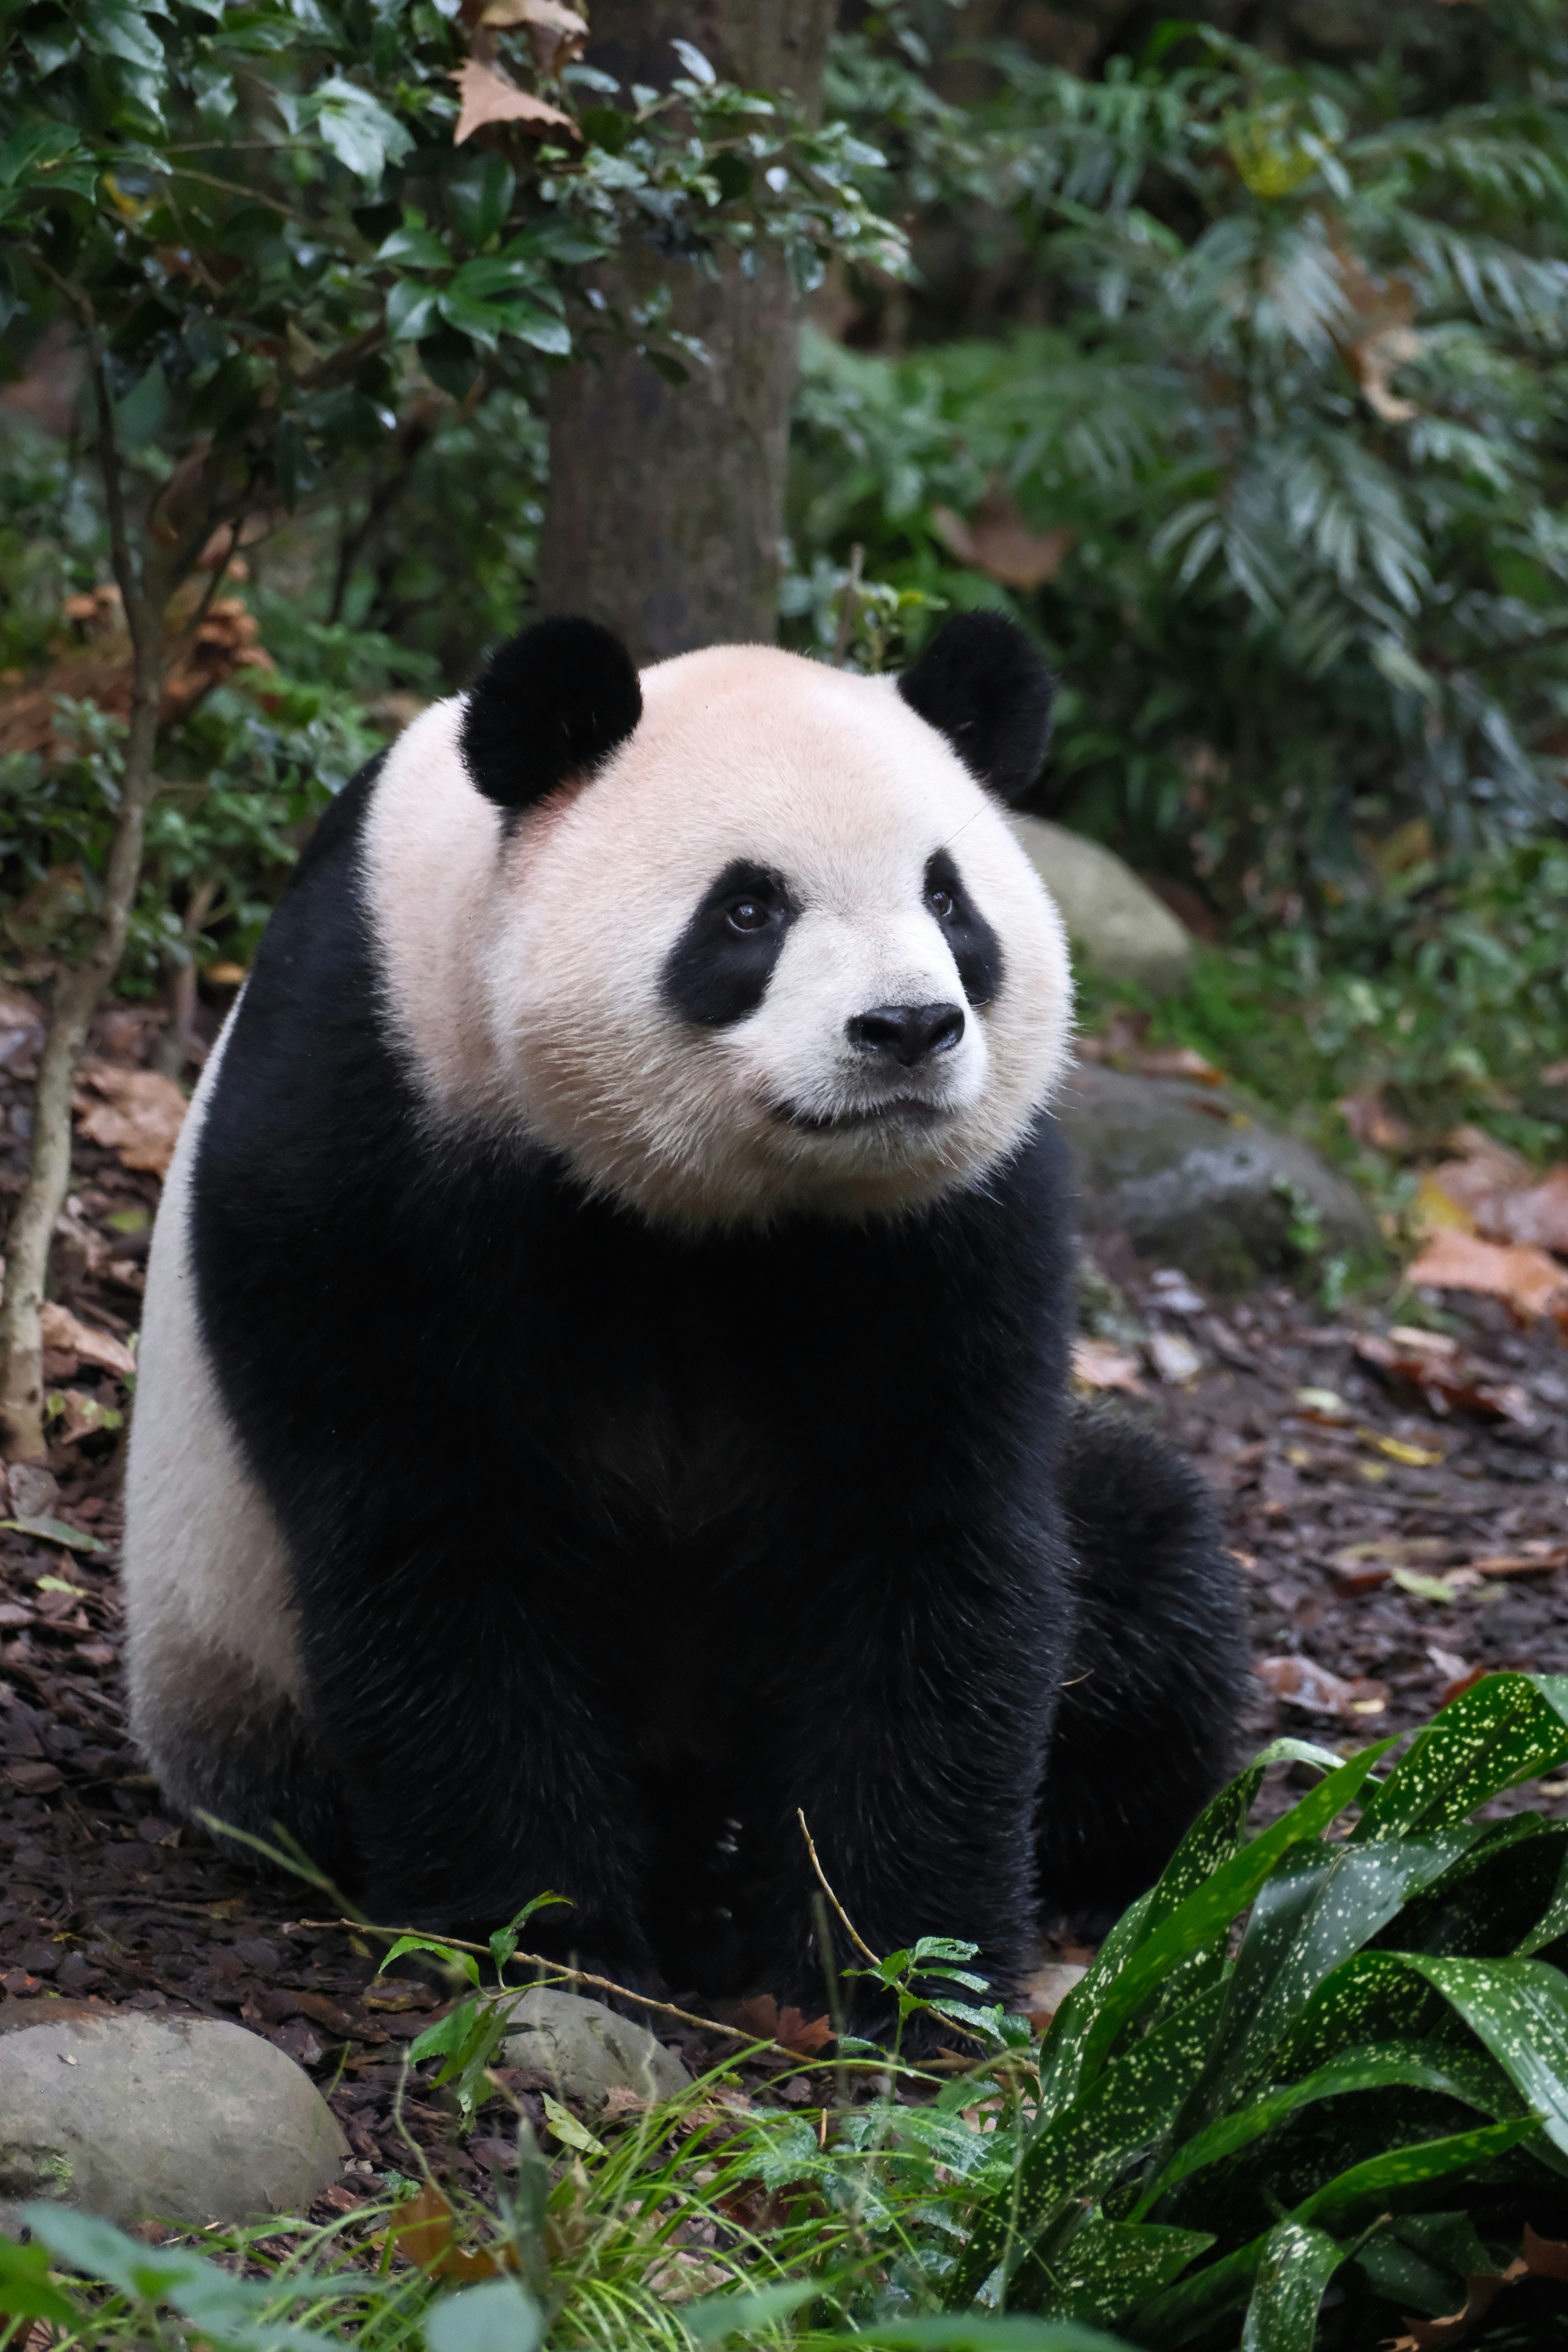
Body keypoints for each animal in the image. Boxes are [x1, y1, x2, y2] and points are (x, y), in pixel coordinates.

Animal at [122, 610, 1245, 2021]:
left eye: (948, 899)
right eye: (748, 909)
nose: (908, 1027)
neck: (713, 1210)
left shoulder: (946, 1224)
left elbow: (932, 1540)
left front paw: (888, 1966)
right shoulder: (375, 1122)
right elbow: (439, 1539)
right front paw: (552, 1935)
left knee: (1150, 1561)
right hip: (223, 1653)